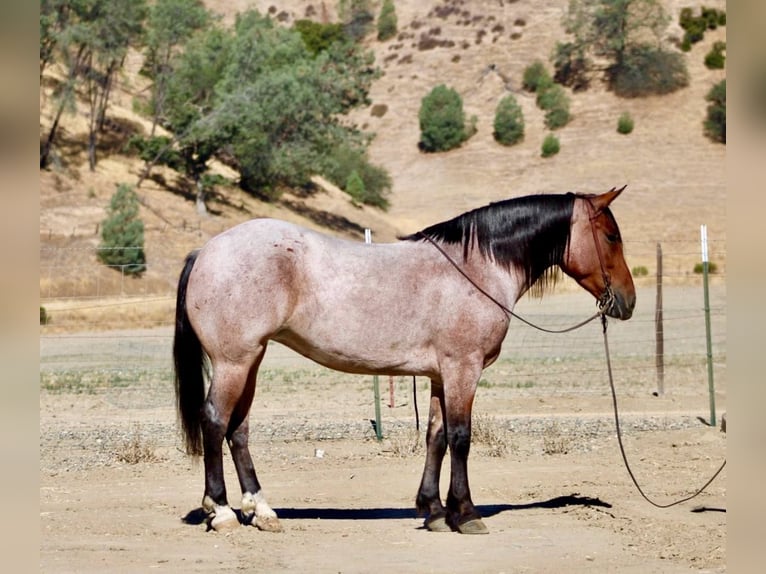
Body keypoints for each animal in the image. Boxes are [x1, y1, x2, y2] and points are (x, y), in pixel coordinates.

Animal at [173, 186, 635, 534]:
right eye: (611, 236)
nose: (627, 302)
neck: (476, 269)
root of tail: (206, 250)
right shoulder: (463, 369)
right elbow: (461, 438)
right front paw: (466, 514)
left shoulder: (440, 375)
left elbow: (436, 436)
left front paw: (434, 511)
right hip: (234, 362)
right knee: (215, 422)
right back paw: (223, 512)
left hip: (251, 360)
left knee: (238, 430)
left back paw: (262, 511)